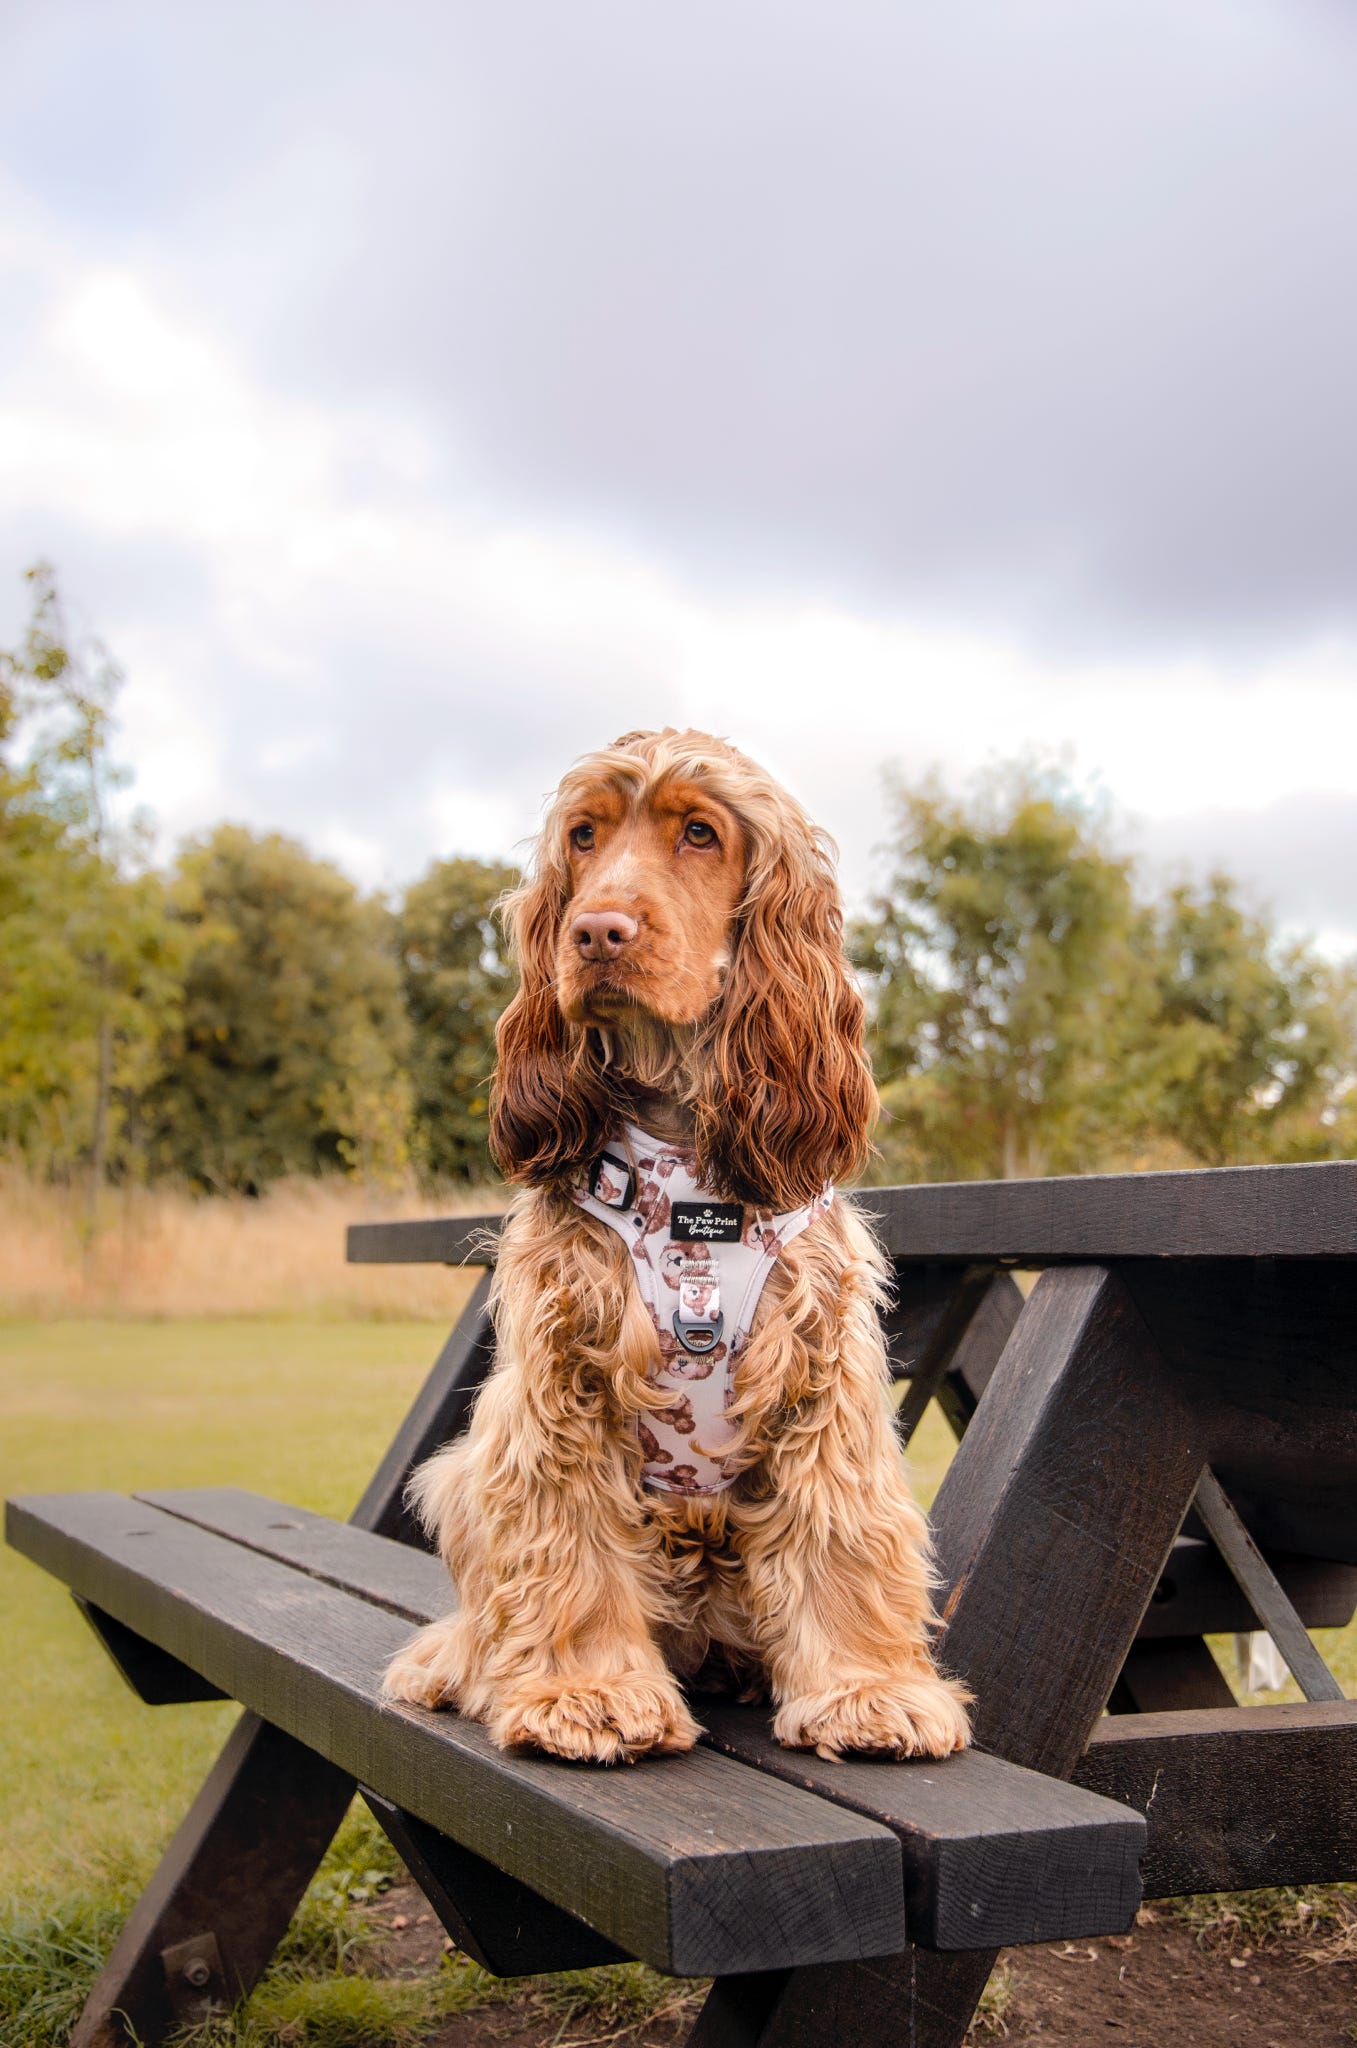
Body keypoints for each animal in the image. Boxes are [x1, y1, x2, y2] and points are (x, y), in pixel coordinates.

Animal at [384, 724, 978, 1761]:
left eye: (699, 832)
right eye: (583, 837)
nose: (595, 933)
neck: (690, 1169)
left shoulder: (820, 1369)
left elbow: (840, 1532)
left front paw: (867, 1690)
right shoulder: (563, 1376)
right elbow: (566, 1541)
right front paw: (585, 1692)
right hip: (464, 1476)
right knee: (481, 1611)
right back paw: (451, 1666)